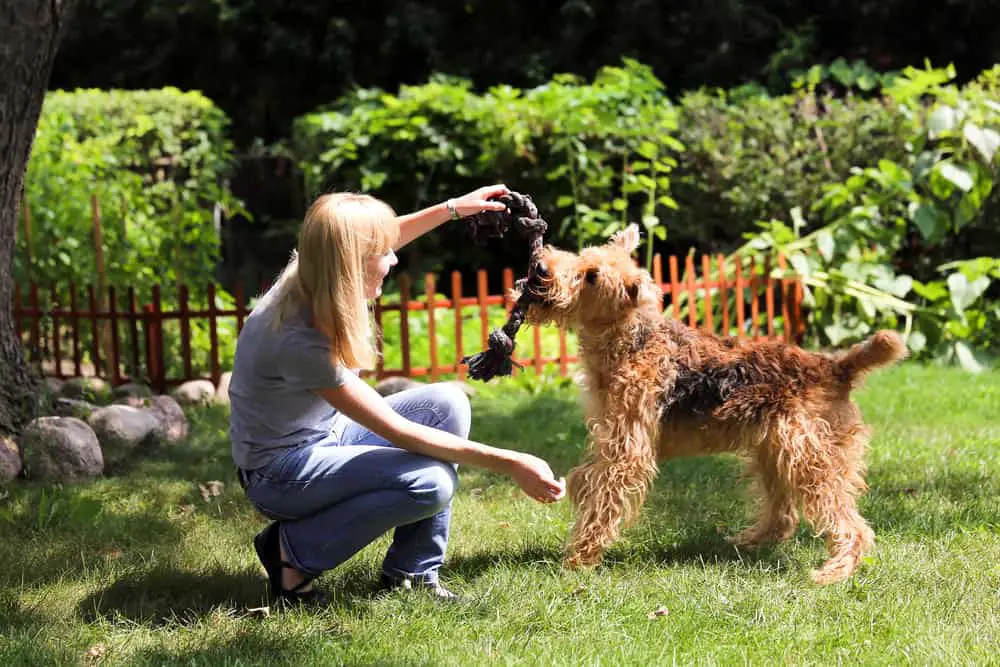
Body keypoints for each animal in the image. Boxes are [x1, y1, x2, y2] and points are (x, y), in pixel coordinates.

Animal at [524, 224, 908, 584]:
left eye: (592, 276)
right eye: (583, 256)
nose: (540, 267)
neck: (629, 340)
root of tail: (837, 367)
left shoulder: (627, 449)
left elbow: (603, 499)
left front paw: (579, 558)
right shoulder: (610, 435)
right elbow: (588, 479)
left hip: (810, 458)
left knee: (852, 525)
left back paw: (834, 572)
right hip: (775, 453)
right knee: (784, 516)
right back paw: (747, 542)